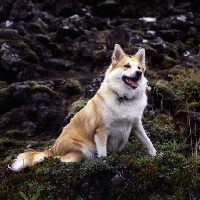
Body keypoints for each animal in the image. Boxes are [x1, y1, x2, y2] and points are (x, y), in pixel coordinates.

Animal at [9, 44, 156, 172]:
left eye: (139, 68)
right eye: (127, 66)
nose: (138, 73)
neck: (124, 98)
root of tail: (52, 148)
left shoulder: (136, 125)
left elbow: (148, 142)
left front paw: (156, 156)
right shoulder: (101, 131)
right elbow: (103, 153)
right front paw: (105, 164)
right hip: (83, 149)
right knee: (58, 160)